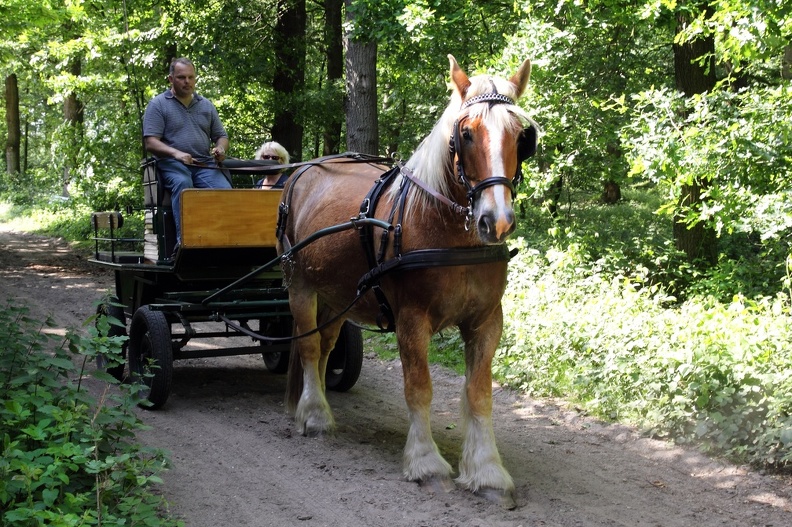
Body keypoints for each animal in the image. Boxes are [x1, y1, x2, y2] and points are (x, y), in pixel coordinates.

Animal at [276, 55, 536, 510]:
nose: (496, 220)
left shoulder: (486, 321)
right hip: (301, 285)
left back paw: (318, 401)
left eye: (521, 137)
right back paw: (314, 414)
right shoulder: (413, 320)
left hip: (335, 294)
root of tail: (301, 172)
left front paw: (487, 471)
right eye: (466, 133)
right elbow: (419, 387)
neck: (447, 230)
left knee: (324, 346)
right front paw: (426, 462)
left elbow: (479, 393)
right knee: (307, 347)